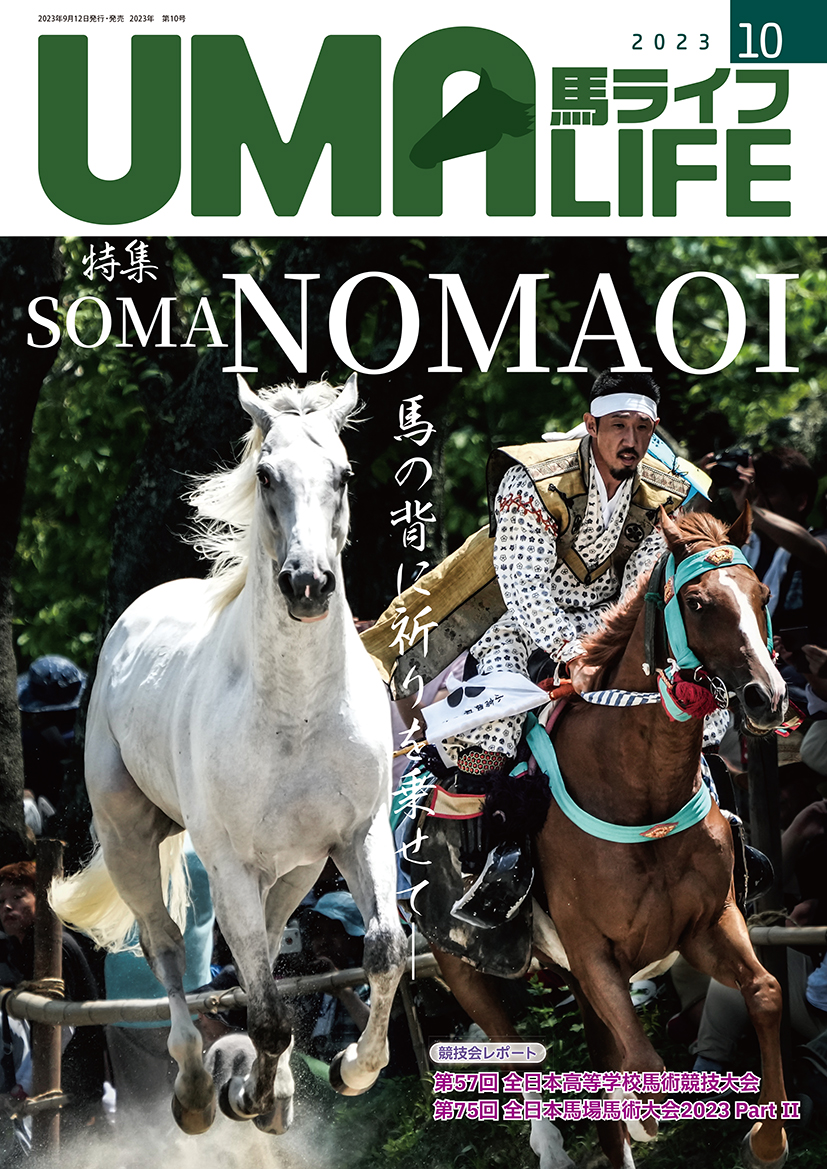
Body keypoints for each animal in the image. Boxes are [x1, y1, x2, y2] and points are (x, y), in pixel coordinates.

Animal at [50, 374, 407, 1135]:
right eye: (266, 475)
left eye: (343, 473)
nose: (307, 583)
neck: (296, 711)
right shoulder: (230, 862)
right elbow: (267, 1014)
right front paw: (252, 1094)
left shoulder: (356, 836)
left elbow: (383, 952)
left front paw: (348, 1071)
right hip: (130, 840)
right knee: (165, 953)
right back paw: (193, 1092)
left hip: (294, 870)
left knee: (262, 953)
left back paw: (270, 1092)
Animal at [424, 506, 790, 1169]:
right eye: (697, 602)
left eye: (763, 595)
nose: (767, 696)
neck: (639, 791)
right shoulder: (592, 950)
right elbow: (643, 1058)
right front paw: (643, 1116)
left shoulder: (708, 922)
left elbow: (767, 991)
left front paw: (769, 1135)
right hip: (457, 958)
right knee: (509, 1045)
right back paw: (550, 1142)